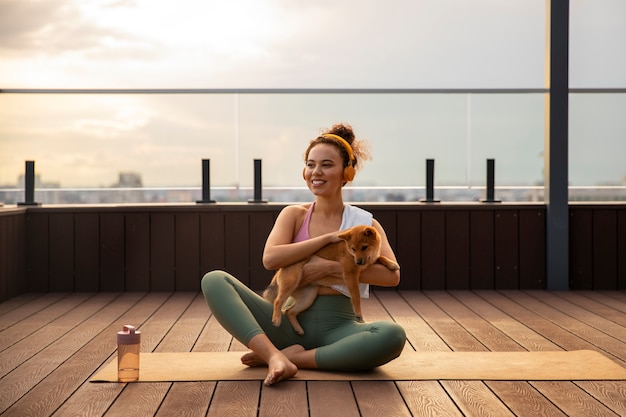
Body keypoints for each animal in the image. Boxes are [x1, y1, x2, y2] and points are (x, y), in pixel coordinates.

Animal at [260, 224, 398, 334]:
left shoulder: (370, 261)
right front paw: (358, 314)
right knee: (278, 301)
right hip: (291, 282)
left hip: (307, 297)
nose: (358, 262)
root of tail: (280, 270)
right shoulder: (350, 274)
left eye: (364, 247)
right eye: (353, 249)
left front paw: (392, 264)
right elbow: (356, 297)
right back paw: (276, 319)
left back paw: (298, 329)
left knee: (290, 311)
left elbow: (381, 257)